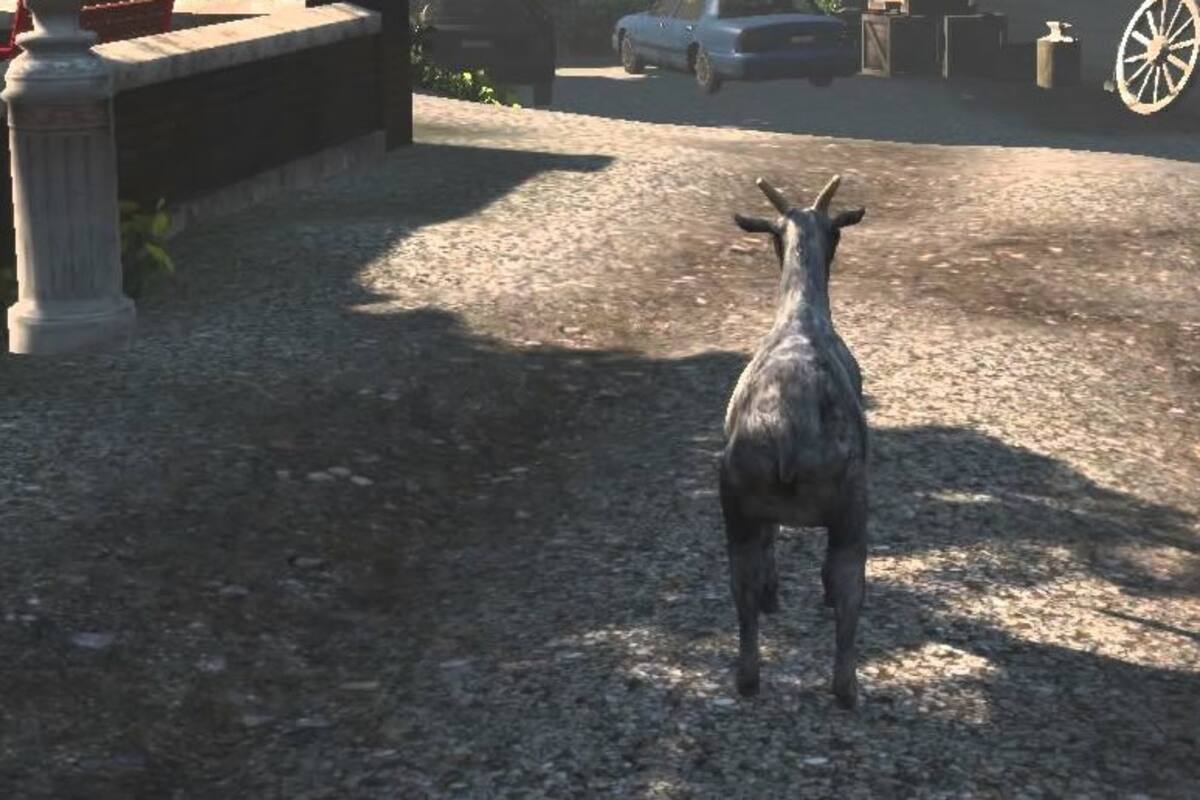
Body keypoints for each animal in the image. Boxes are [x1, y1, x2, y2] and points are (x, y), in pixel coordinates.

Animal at [720, 174, 868, 709]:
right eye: (837, 231)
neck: (801, 318)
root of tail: (787, 431)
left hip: (736, 496)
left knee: (742, 577)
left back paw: (748, 677)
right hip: (850, 503)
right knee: (846, 582)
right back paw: (845, 689)